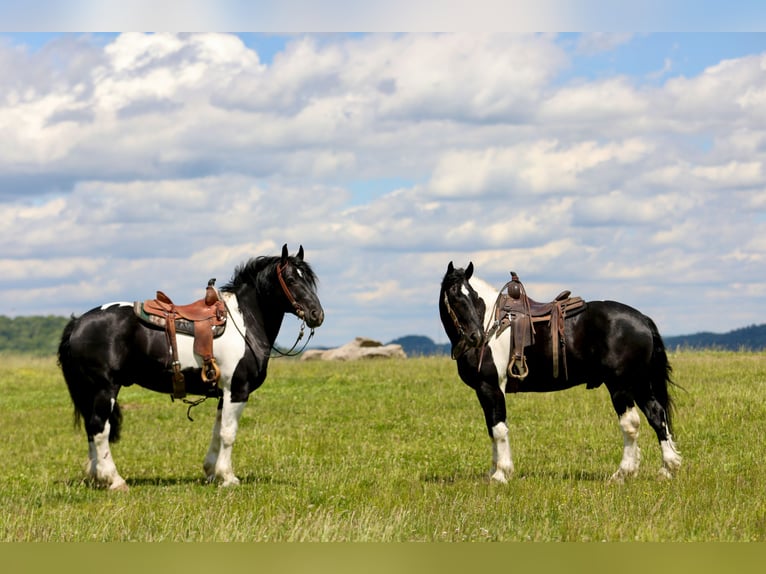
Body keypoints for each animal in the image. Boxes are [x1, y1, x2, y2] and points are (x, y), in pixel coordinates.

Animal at [58, 244, 324, 491]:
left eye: (310, 279)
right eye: (291, 279)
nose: (317, 315)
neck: (243, 322)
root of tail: (78, 322)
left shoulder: (223, 394)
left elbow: (217, 431)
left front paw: (211, 472)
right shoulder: (237, 390)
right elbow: (228, 434)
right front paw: (228, 478)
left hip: (91, 390)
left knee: (91, 428)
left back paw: (96, 477)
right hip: (105, 388)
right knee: (99, 428)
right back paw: (113, 480)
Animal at [439, 261, 681, 483]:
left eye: (472, 296)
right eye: (455, 296)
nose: (477, 337)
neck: (492, 322)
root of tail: (642, 320)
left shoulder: (490, 387)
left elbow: (498, 429)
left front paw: (501, 474)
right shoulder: (486, 391)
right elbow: (492, 428)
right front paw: (493, 472)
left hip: (621, 386)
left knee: (631, 424)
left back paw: (623, 473)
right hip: (639, 384)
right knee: (657, 416)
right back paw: (667, 469)